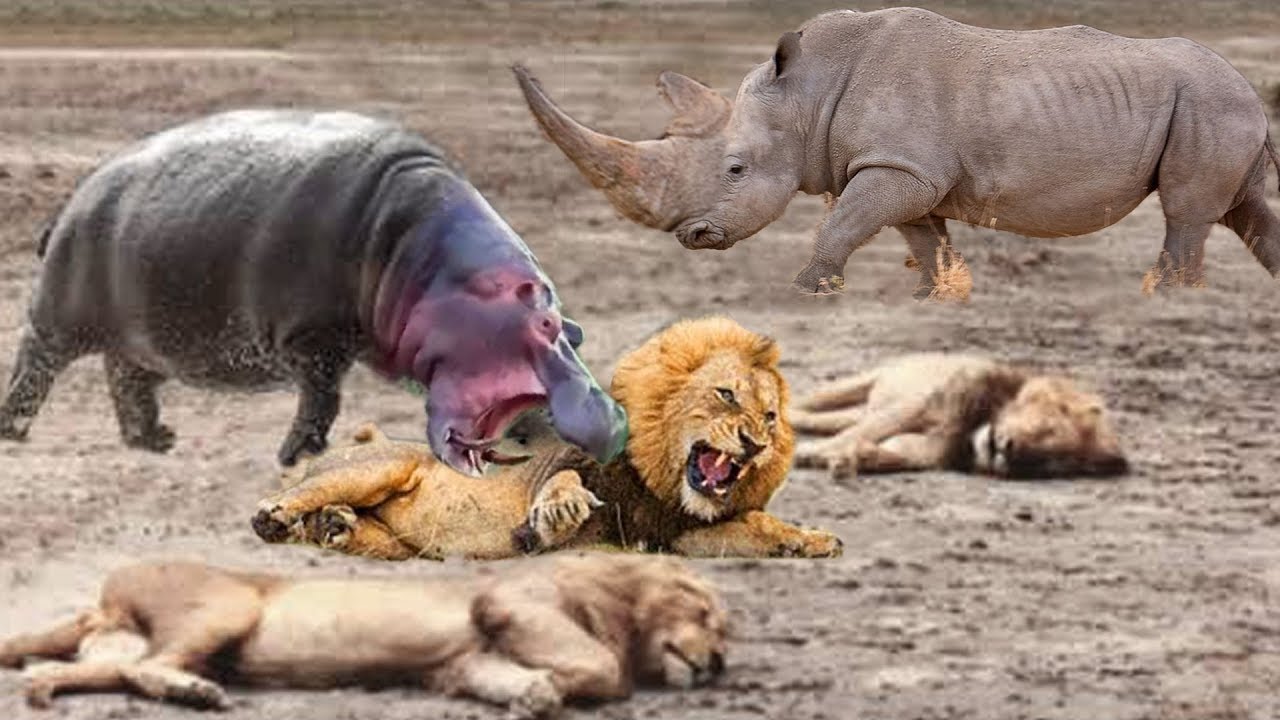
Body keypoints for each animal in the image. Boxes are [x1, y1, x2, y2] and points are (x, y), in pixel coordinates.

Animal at [0, 110, 628, 473]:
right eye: (545, 324)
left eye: (575, 331)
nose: (616, 422)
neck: (427, 265)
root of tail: (73, 201)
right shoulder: (315, 338)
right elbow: (323, 397)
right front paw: (294, 457)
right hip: (60, 315)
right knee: (35, 365)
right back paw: (15, 432)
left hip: (142, 336)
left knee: (127, 380)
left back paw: (155, 441)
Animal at [252, 316, 842, 559]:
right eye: (726, 395)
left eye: (770, 416)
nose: (755, 443)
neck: (663, 483)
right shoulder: (570, 465)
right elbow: (561, 481)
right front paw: (556, 515)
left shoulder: (674, 534)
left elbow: (755, 526)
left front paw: (809, 539)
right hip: (374, 467)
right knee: (299, 495)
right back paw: (279, 516)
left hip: (400, 545)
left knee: (351, 530)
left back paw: (335, 527)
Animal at [517, 8, 1280, 298]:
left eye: (734, 170)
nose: (693, 236)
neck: (806, 93)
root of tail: (1251, 90)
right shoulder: (911, 172)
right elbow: (922, 234)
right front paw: (935, 295)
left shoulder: (899, 165)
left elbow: (847, 221)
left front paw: (806, 288)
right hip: (1218, 106)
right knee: (1244, 210)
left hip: (1208, 104)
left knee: (1188, 212)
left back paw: (1167, 297)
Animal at [791, 353, 1129, 479]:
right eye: (1046, 430)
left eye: (1049, 463)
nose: (1008, 450)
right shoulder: (916, 407)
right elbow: (860, 434)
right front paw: (810, 453)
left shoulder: (929, 447)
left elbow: (892, 451)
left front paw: (849, 459)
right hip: (864, 381)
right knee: (806, 404)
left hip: (860, 408)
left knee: (829, 420)